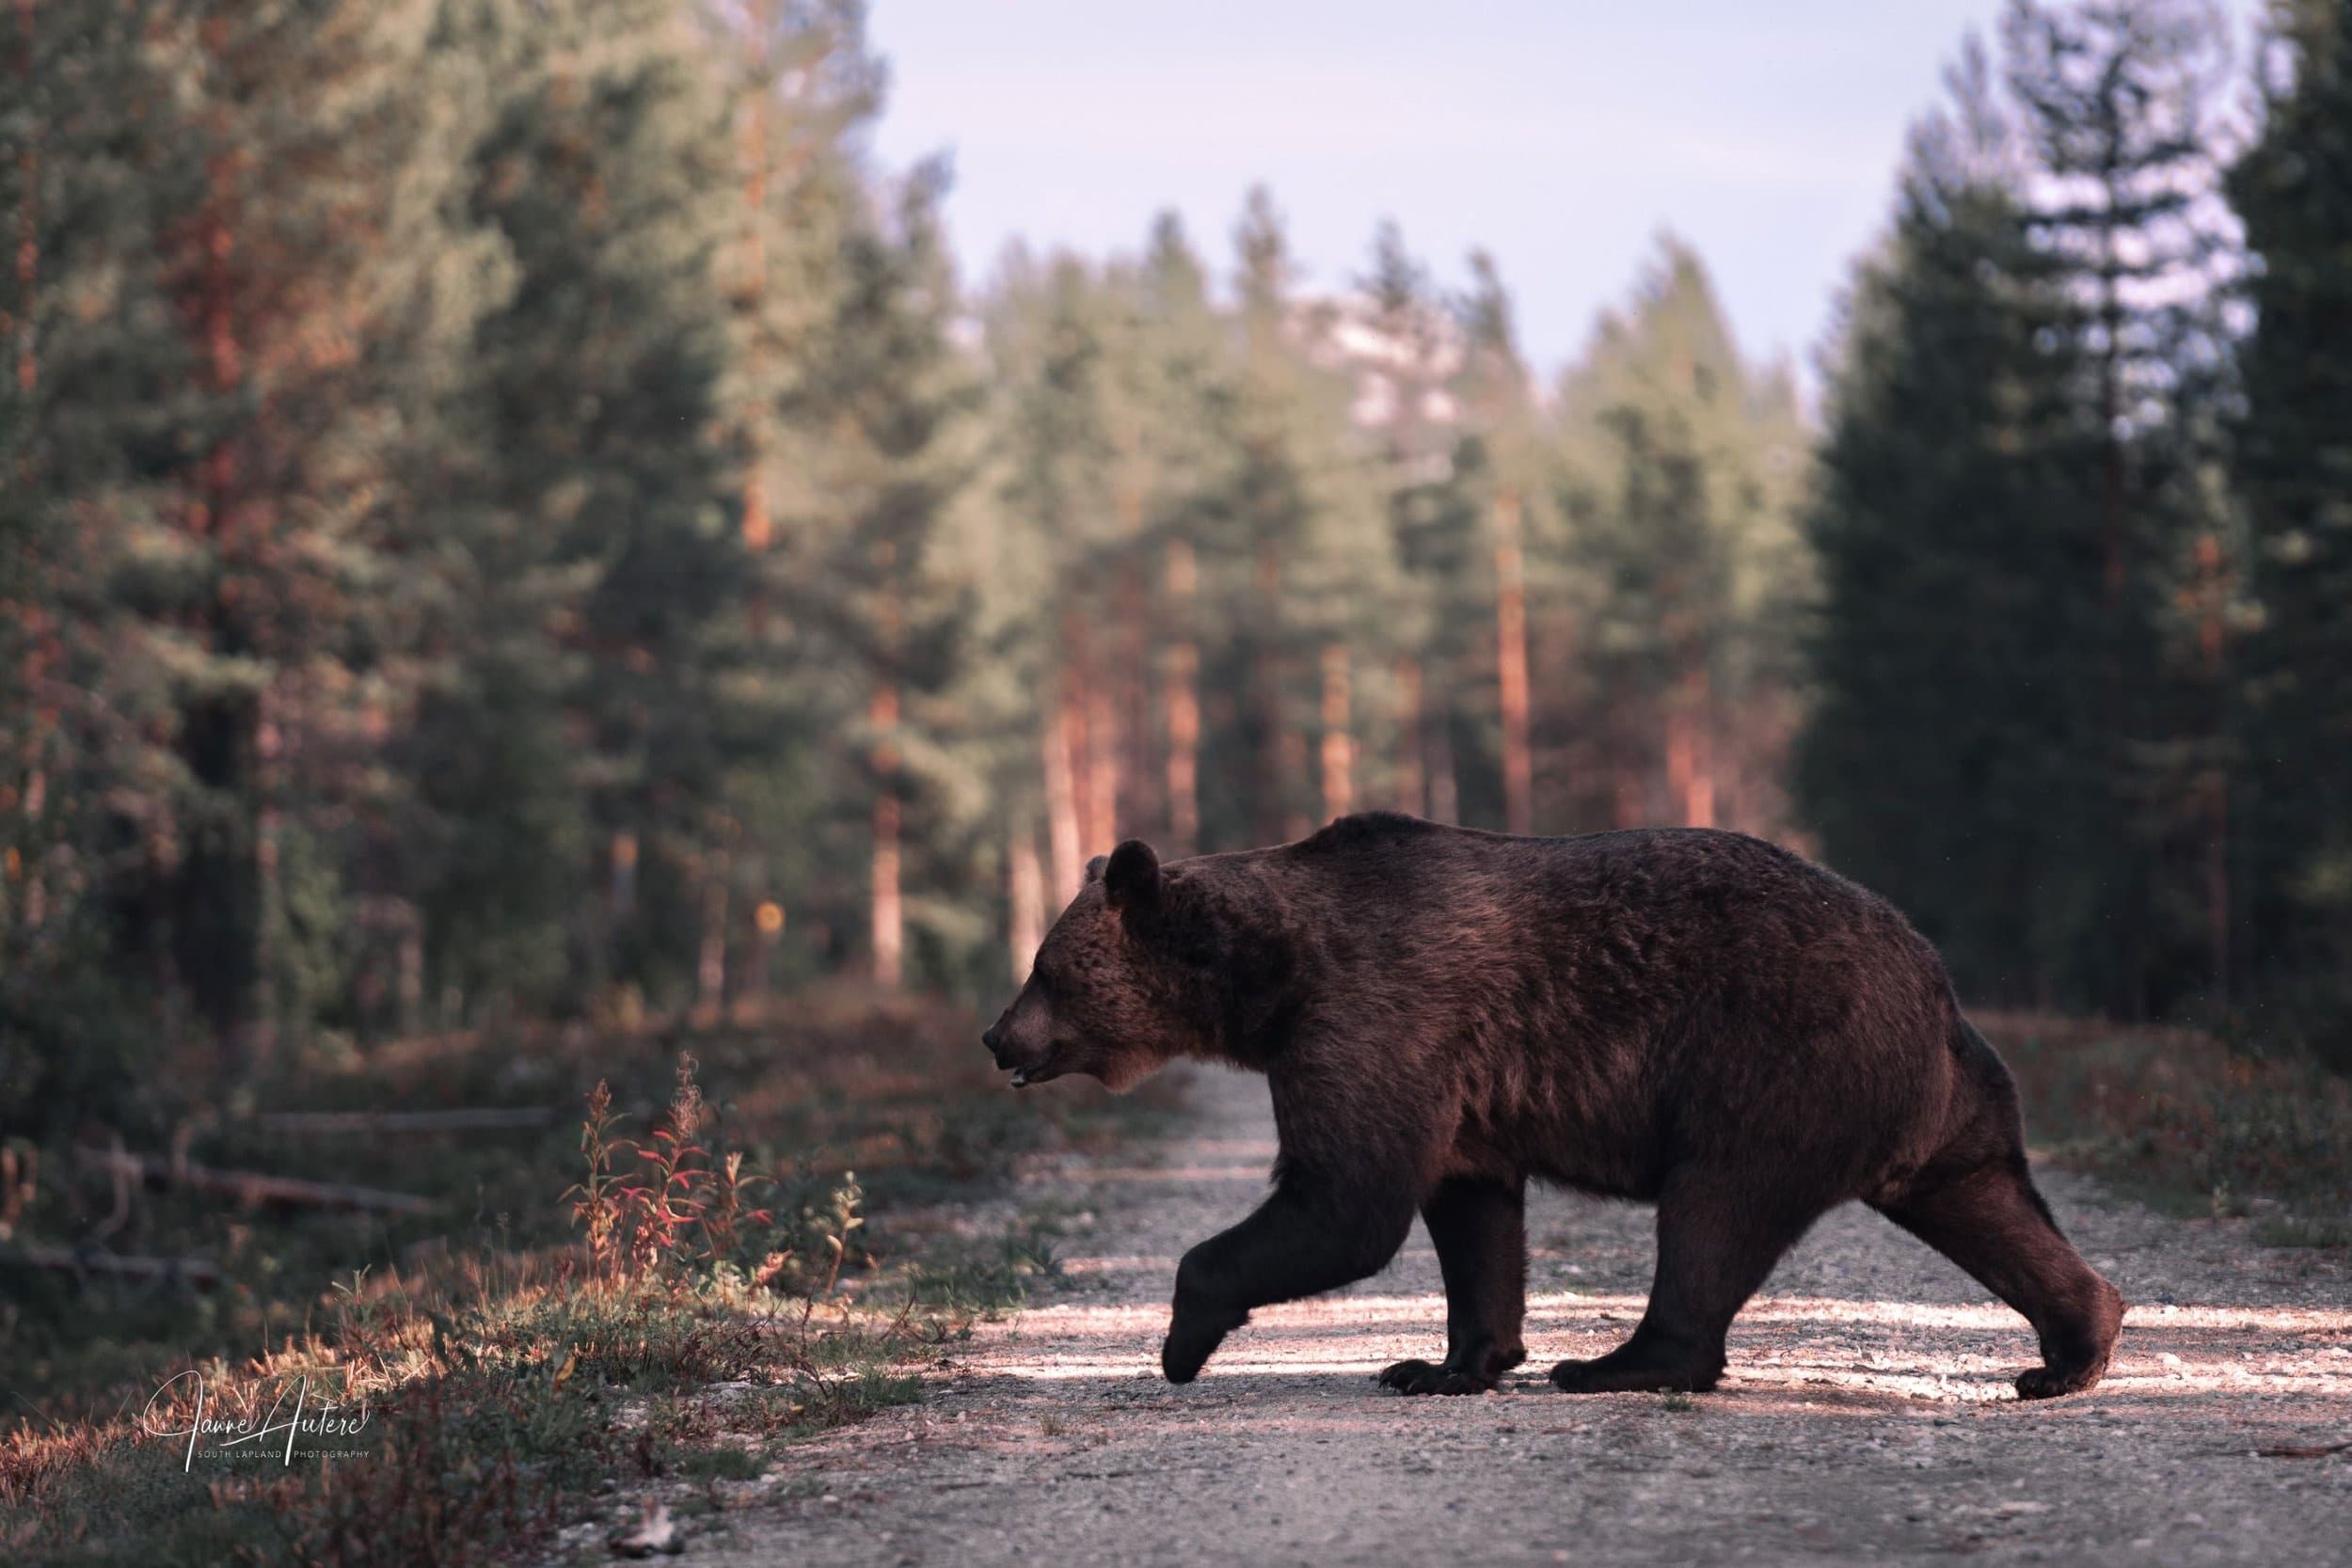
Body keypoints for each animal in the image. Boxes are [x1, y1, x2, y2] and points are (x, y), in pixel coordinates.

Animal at [980, 813, 2124, 1400]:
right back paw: (2071, 1348)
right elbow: (1471, 1212)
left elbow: (1347, 1198)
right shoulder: (1454, 1084)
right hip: (1937, 1107)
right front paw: (1446, 1361)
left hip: (1772, 1062)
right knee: (1986, 1202)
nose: (996, 1037)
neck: (1265, 981)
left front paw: (1184, 1334)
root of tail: (1934, 981)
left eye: (1045, 967)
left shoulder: (1371, 1014)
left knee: (1713, 1212)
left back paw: (1620, 1361)